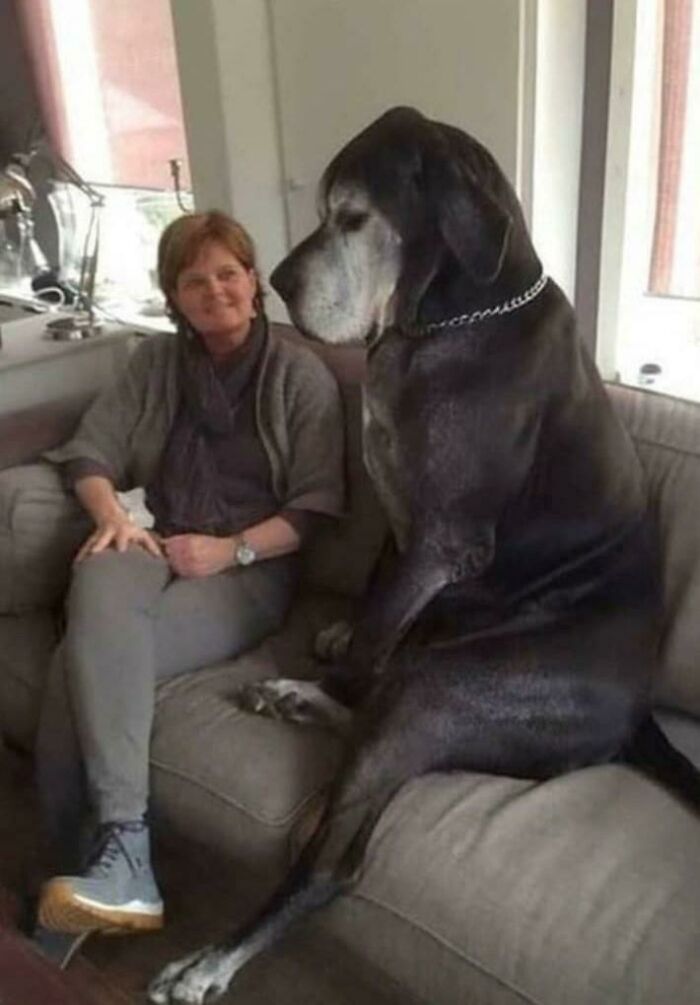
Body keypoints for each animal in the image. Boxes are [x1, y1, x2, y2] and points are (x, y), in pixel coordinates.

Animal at [148, 106, 700, 1004]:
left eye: (353, 217)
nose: (278, 284)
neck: (448, 321)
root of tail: (638, 709)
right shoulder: (399, 522)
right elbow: (377, 595)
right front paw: (336, 649)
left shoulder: (440, 541)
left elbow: (380, 630)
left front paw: (342, 659)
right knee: (378, 707)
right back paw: (294, 696)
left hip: (446, 685)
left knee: (338, 855)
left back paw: (211, 959)